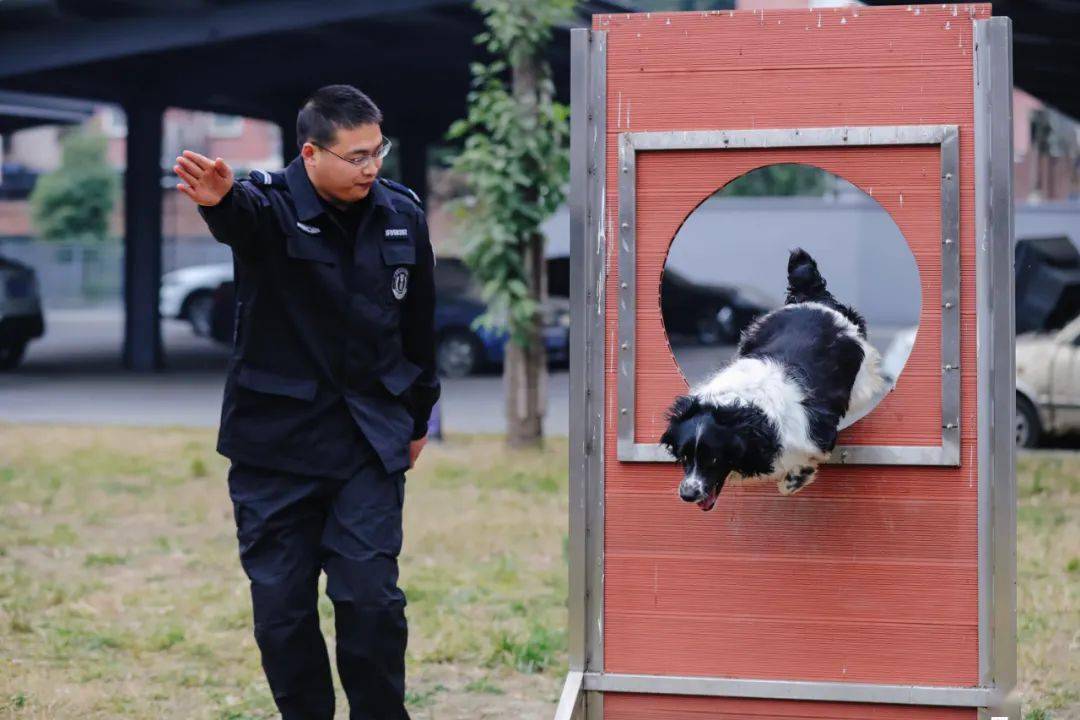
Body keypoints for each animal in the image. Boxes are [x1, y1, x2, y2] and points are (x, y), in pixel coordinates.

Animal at [660, 250, 881, 509]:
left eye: (713, 459)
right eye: (684, 456)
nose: (687, 494)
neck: (745, 408)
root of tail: (814, 300)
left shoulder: (813, 435)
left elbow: (803, 462)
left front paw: (795, 480)